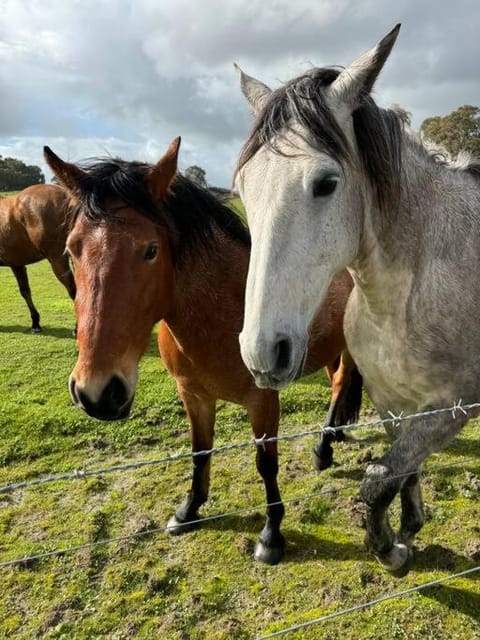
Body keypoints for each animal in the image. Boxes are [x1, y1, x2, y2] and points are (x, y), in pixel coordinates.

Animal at [44, 139, 360, 564]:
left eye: (150, 250)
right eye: (71, 251)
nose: (97, 392)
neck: (224, 310)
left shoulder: (263, 402)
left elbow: (266, 464)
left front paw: (271, 535)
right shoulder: (193, 395)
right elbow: (199, 452)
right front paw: (189, 510)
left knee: (342, 382)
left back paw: (324, 447)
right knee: (338, 384)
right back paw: (334, 437)